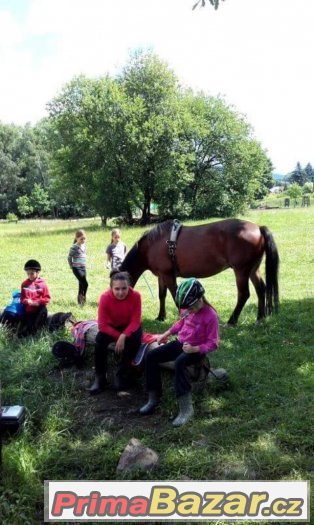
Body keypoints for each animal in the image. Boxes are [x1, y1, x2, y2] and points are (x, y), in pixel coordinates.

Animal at [120, 218, 280, 324]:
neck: (152, 245)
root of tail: (258, 228)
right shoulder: (161, 276)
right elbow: (162, 295)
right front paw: (161, 316)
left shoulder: (168, 275)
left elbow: (175, 294)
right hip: (253, 270)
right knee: (261, 289)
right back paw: (260, 318)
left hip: (241, 271)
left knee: (244, 294)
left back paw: (232, 321)